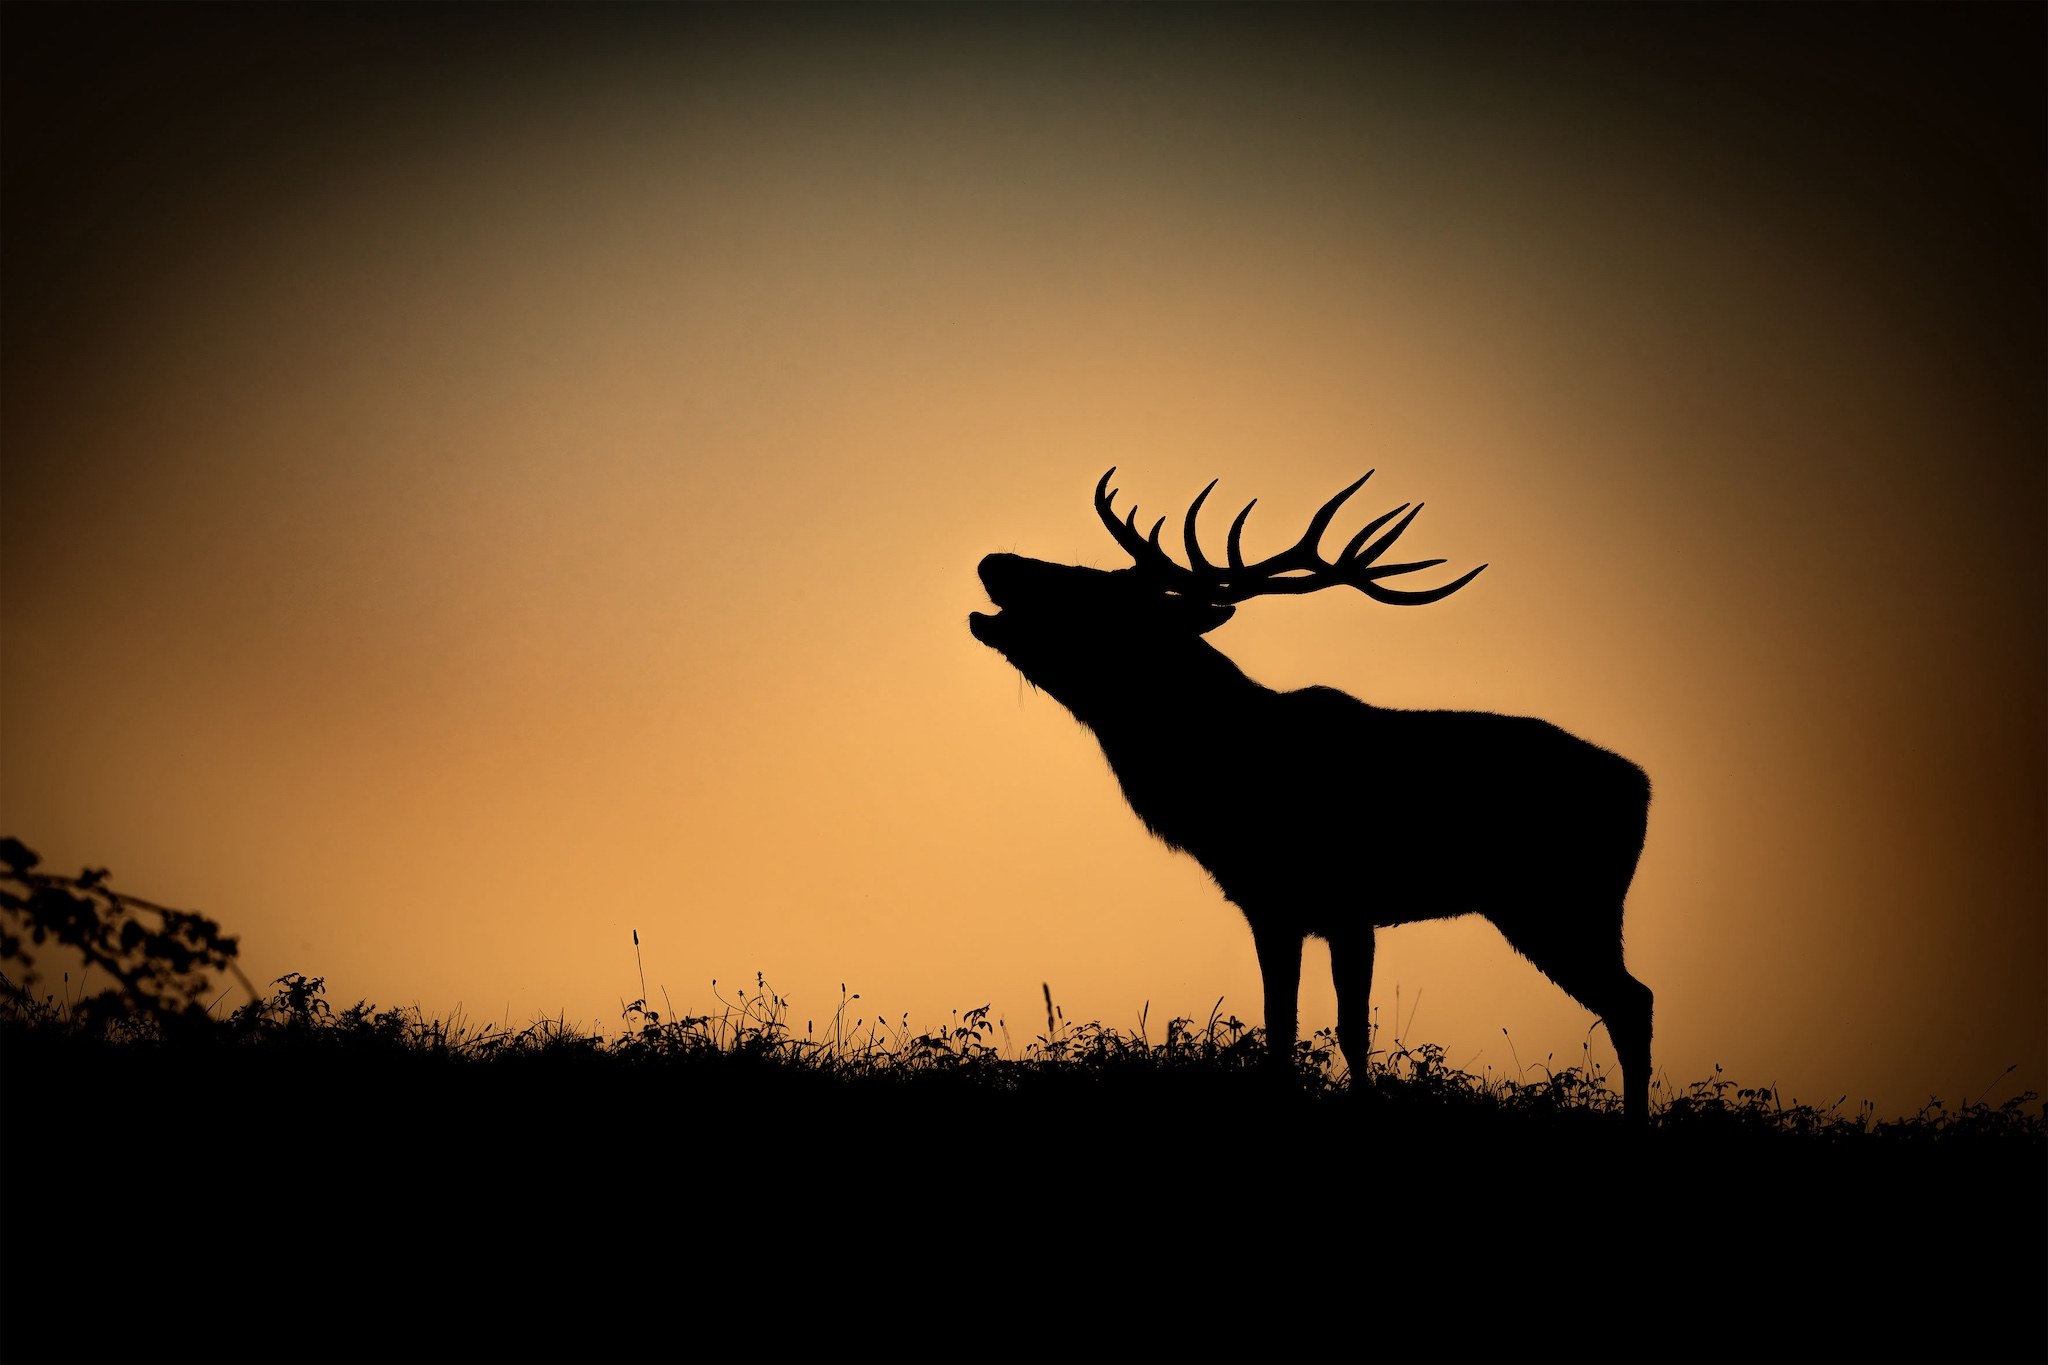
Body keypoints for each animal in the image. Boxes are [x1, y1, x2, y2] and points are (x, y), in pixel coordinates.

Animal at [969, 469, 1655, 1121]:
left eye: (1098, 593)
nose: (994, 561)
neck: (1212, 779)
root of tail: (1642, 786)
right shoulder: (1279, 906)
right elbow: (1289, 1027)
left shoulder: (1337, 903)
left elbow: (1340, 1030)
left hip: (1561, 900)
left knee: (1634, 1001)